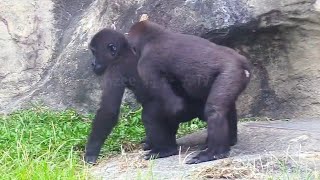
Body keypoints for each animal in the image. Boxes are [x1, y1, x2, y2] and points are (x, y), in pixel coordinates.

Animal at [84, 28, 205, 165]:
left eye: (94, 52)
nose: (92, 63)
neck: (123, 52)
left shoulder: (114, 69)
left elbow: (108, 110)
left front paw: (91, 152)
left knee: (149, 115)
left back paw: (166, 149)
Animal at [127, 20, 250, 164]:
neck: (155, 36)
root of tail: (242, 62)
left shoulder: (146, 65)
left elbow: (175, 108)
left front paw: (163, 147)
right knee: (227, 107)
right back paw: (229, 141)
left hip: (231, 73)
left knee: (214, 111)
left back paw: (213, 153)